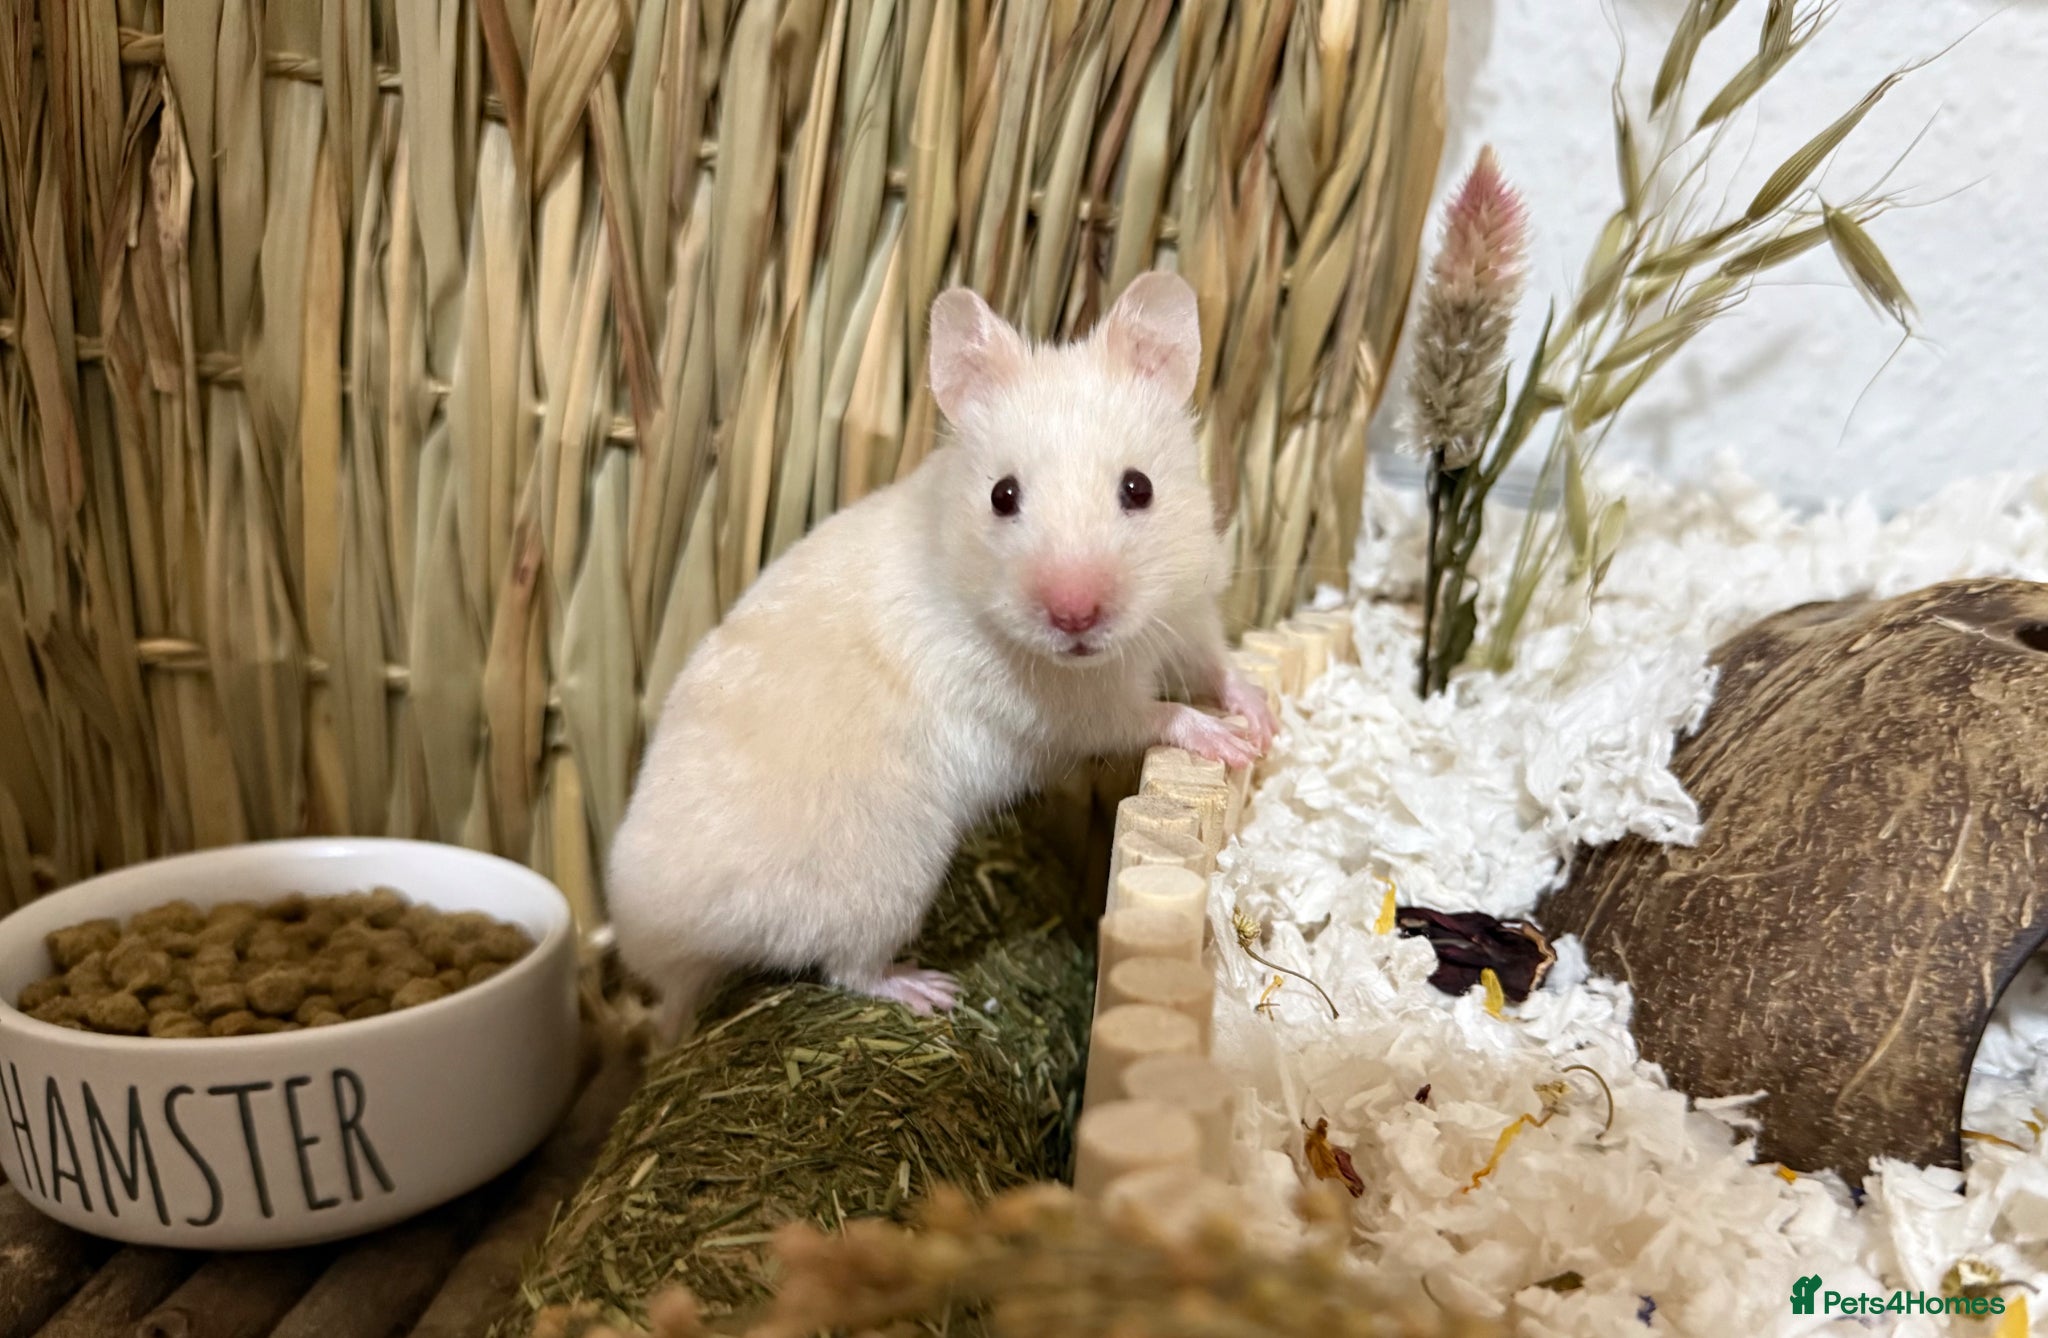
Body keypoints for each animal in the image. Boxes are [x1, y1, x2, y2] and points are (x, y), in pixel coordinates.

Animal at [606, 270, 1279, 1045]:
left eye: (1139, 487)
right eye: (1002, 495)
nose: (1074, 615)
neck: (1097, 653)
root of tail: (660, 948)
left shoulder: (1187, 611)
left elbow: (1215, 662)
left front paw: (1262, 721)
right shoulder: (1071, 712)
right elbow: (1151, 715)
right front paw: (1227, 741)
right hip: (884, 878)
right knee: (845, 967)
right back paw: (928, 989)